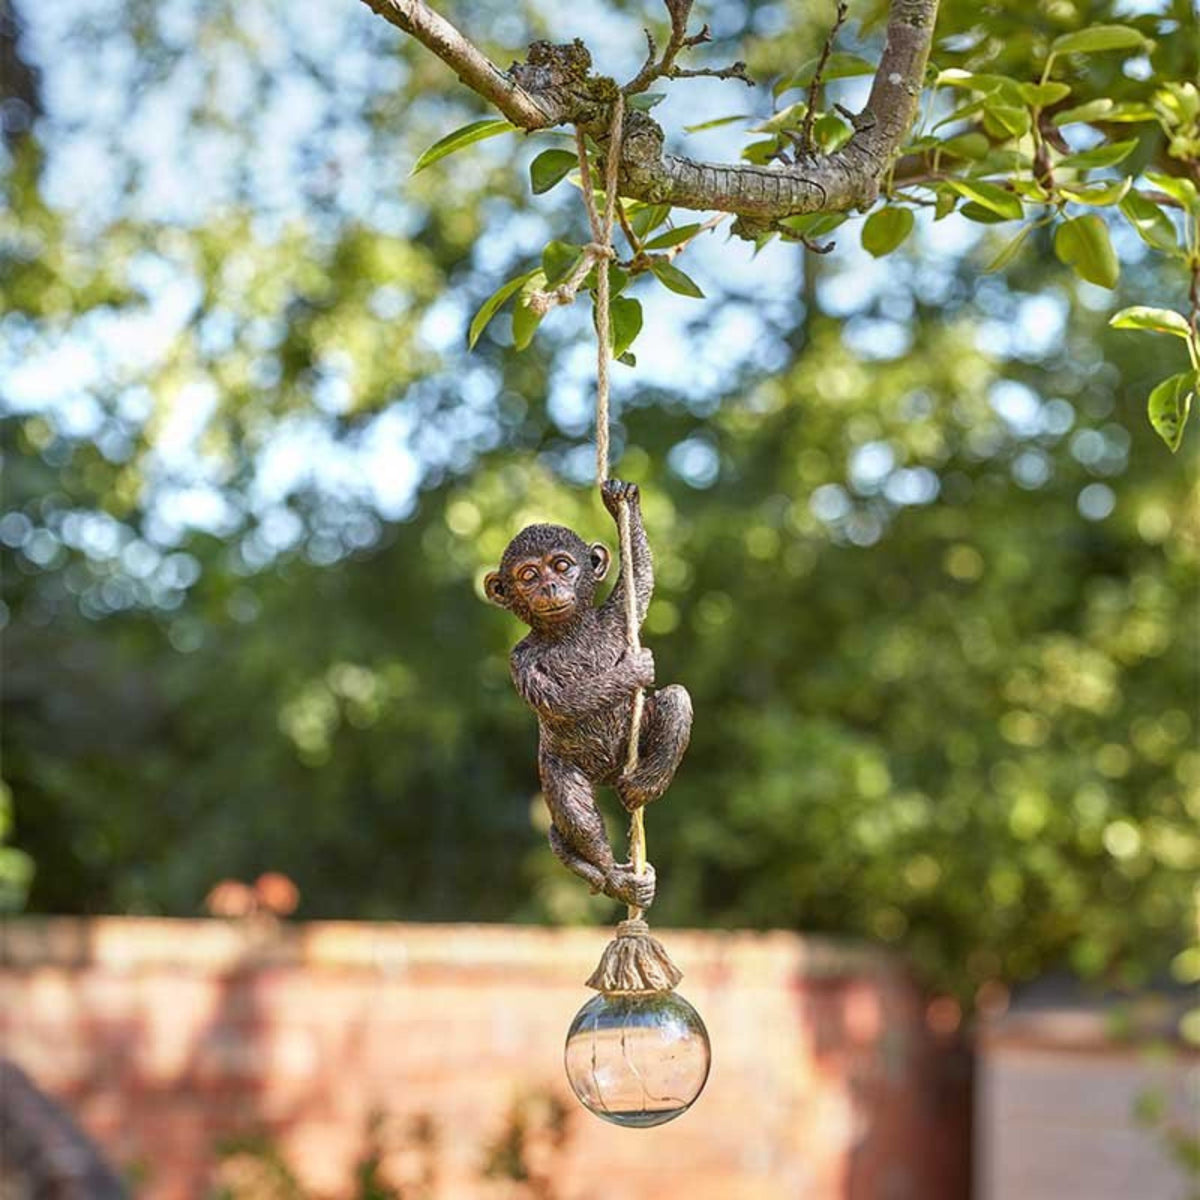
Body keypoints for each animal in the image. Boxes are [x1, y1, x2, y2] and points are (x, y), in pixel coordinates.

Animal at [484, 480, 692, 911]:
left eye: (562, 566)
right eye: (528, 575)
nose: (549, 586)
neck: (571, 630)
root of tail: (610, 775)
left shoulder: (614, 618)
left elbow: (640, 581)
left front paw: (622, 500)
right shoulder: (519, 659)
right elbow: (560, 701)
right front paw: (635, 668)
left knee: (676, 699)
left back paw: (643, 787)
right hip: (559, 767)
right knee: (573, 816)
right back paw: (616, 878)